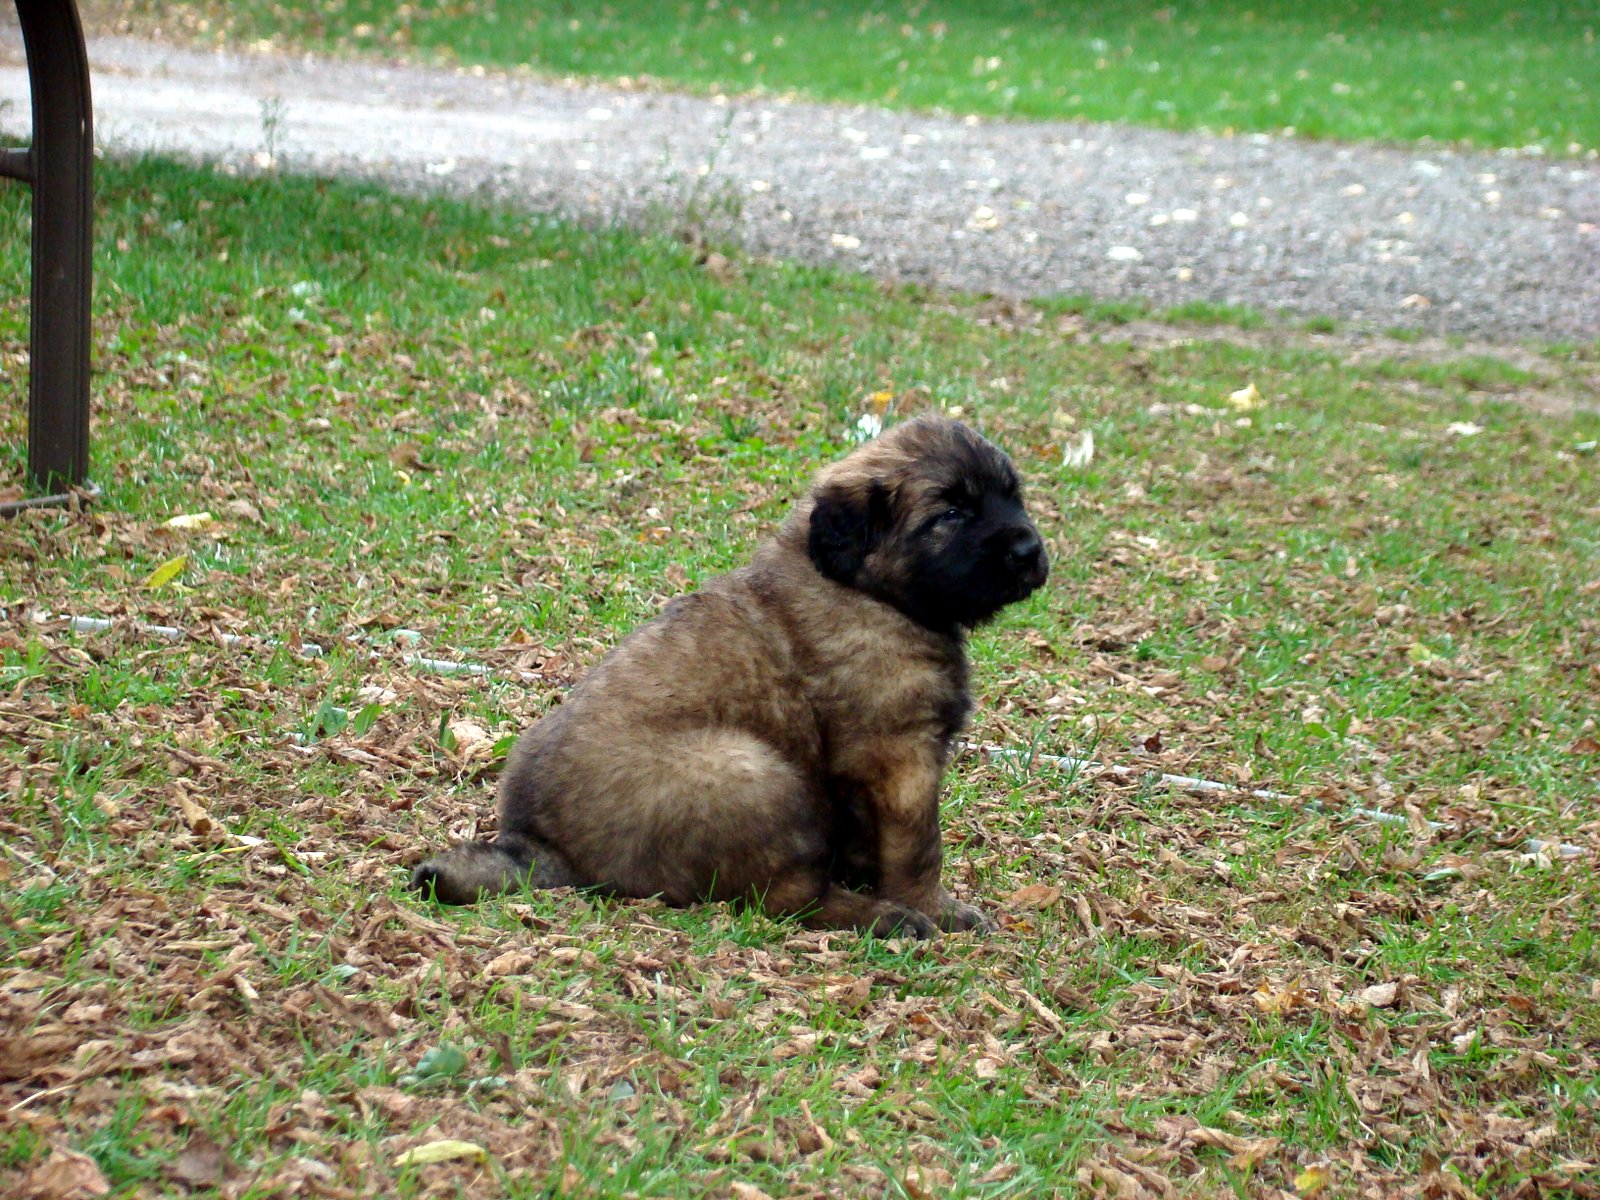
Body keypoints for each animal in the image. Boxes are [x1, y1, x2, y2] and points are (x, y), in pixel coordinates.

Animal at [411, 415, 1048, 937]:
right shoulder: (900, 755)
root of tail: (539, 847)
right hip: (753, 772)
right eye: (951, 513)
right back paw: (883, 918)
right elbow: (919, 847)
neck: (871, 593)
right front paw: (932, 908)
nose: (1029, 550)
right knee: (785, 899)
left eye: (1012, 496)